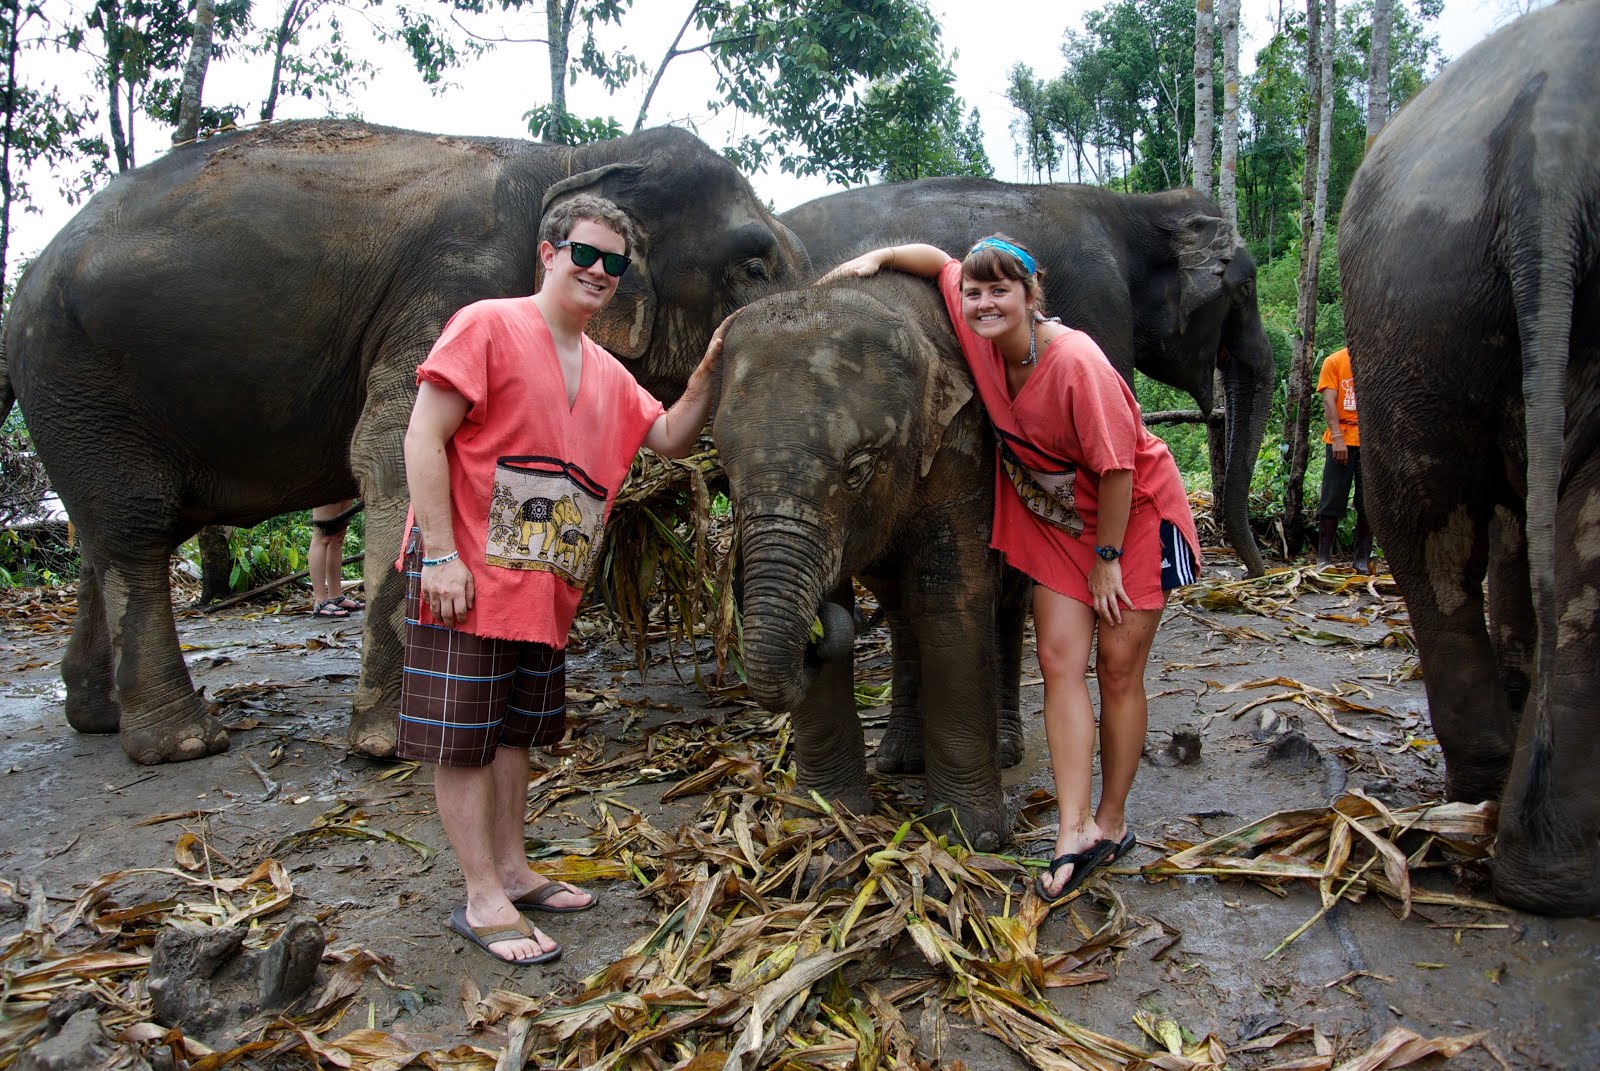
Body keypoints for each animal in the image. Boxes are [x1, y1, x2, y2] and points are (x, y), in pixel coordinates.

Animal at [0, 120, 806, 765]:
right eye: (754, 264)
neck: (574, 157)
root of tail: (28, 280)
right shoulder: (452, 287)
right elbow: (396, 454)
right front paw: (392, 744)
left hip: (85, 400)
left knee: (112, 531)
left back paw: (98, 717)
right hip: (77, 373)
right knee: (137, 530)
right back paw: (184, 742)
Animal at [713, 268, 1024, 851]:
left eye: (856, 469)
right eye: (724, 472)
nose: (821, 629)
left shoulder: (963, 446)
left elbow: (949, 599)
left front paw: (969, 838)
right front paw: (823, 819)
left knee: (1009, 601)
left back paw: (1006, 749)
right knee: (902, 614)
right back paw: (900, 759)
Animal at [1337, 2, 1600, 922]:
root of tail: (1552, 127)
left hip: (1418, 291)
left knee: (1433, 520)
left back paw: (1520, 836)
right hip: (1420, 289)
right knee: (1446, 535)